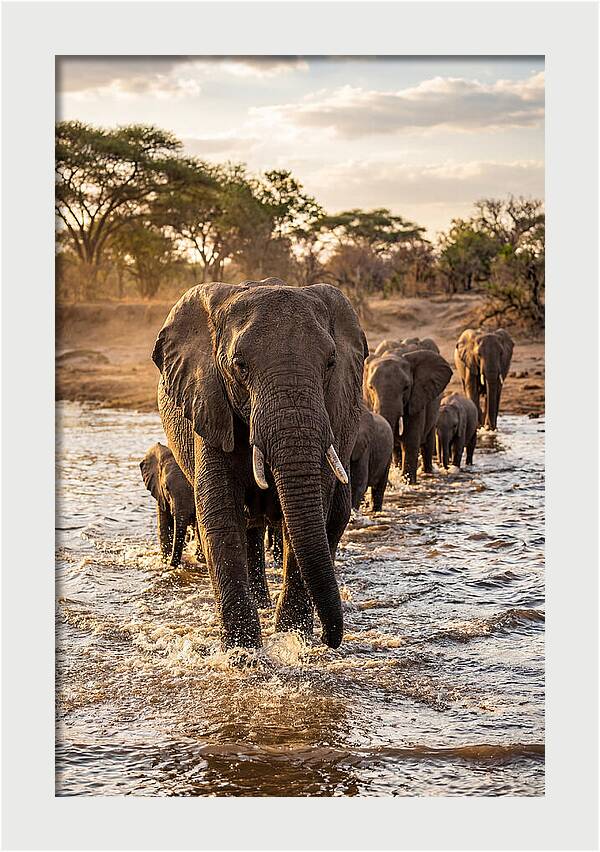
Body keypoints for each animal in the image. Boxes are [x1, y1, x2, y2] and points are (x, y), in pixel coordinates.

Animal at [152, 278, 367, 651]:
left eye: (330, 363)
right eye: (240, 366)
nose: (331, 639)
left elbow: (312, 510)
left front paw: (293, 640)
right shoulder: (209, 402)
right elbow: (220, 514)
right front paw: (243, 653)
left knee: (331, 519)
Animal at [363, 339, 452, 484]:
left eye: (406, 387)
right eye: (371, 387)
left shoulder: (417, 397)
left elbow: (410, 442)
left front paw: (409, 483)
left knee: (428, 440)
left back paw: (428, 472)